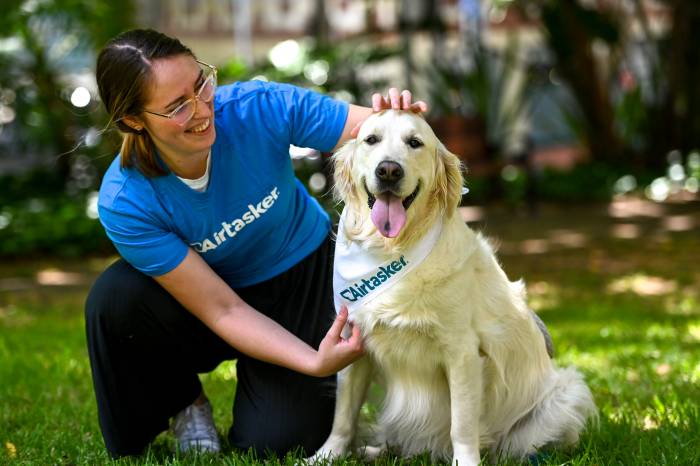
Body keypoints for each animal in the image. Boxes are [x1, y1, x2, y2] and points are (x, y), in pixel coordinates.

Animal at [312, 111, 596, 464]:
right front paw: (326, 455)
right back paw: (376, 450)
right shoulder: (353, 342)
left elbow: (461, 423)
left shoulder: (462, 352)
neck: (393, 249)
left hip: (565, 393)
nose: (389, 170)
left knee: (517, 444)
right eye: (371, 140)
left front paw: (466, 461)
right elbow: (343, 414)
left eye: (415, 142)